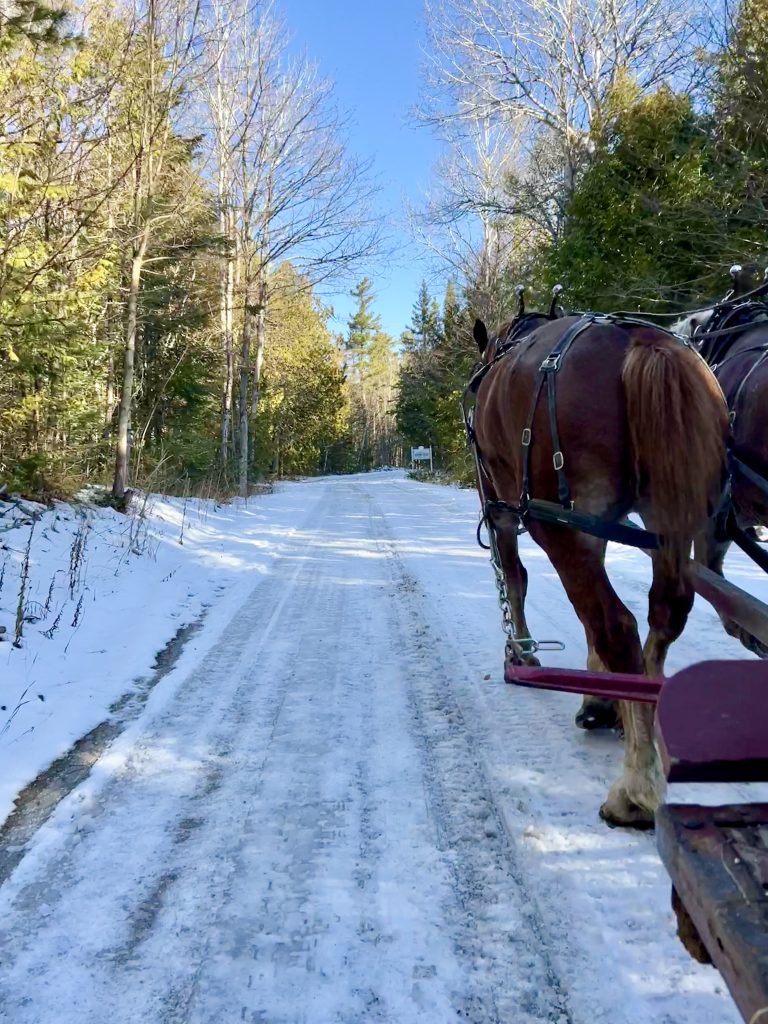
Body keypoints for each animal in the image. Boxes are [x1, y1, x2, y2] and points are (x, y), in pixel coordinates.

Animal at [473, 309, 729, 823]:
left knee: (615, 624)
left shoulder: (500, 508)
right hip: (668, 520)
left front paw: (522, 653)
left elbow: (514, 579)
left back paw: (636, 784)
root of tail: (642, 342)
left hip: (555, 521)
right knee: (664, 614)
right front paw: (601, 698)